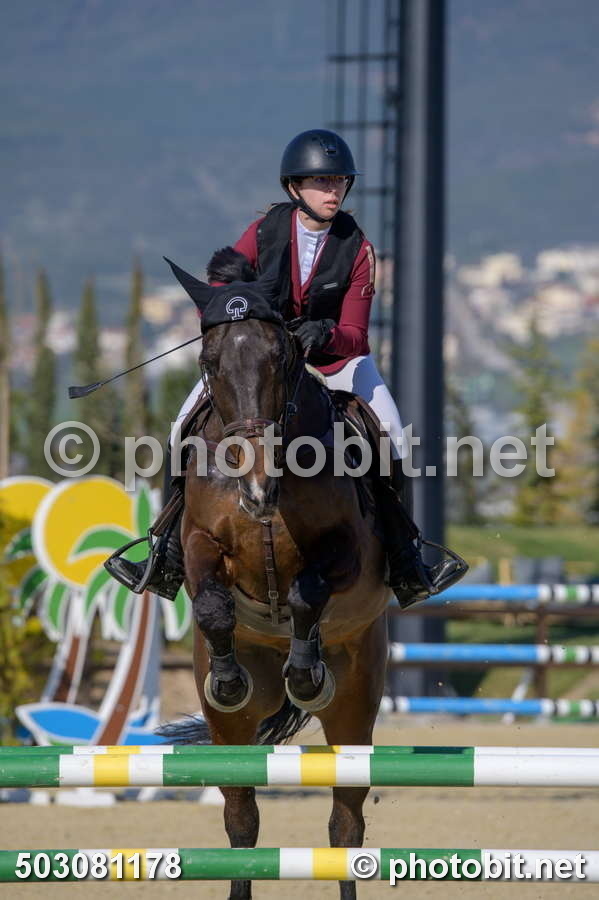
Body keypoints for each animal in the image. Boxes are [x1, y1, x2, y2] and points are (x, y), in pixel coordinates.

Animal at [160, 259, 391, 900]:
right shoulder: (198, 544)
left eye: (283, 357)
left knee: (345, 823)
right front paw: (226, 677)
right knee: (242, 817)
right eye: (208, 362)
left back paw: (308, 677)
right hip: (233, 731)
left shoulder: (347, 551)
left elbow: (306, 592)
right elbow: (212, 604)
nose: (258, 489)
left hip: (357, 705)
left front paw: (307, 674)